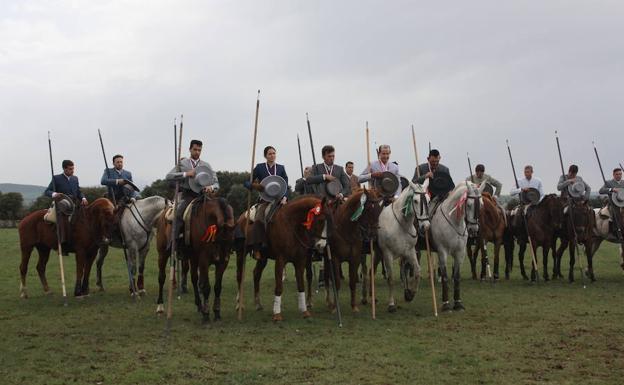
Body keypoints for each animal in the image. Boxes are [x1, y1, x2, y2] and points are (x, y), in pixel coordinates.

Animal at [376, 178, 428, 310]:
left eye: (428, 199)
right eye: (415, 201)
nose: (425, 226)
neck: (400, 224)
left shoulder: (409, 252)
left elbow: (417, 272)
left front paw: (411, 294)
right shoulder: (387, 254)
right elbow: (391, 279)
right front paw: (391, 304)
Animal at [428, 182, 482, 310]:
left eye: (481, 205)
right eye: (469, 205)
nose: (474, 230)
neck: (453, 222)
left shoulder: (460, 253)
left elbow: (457, 277)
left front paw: (458, 303)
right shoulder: (442, 252)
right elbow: (445, 277)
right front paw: (446, 304)